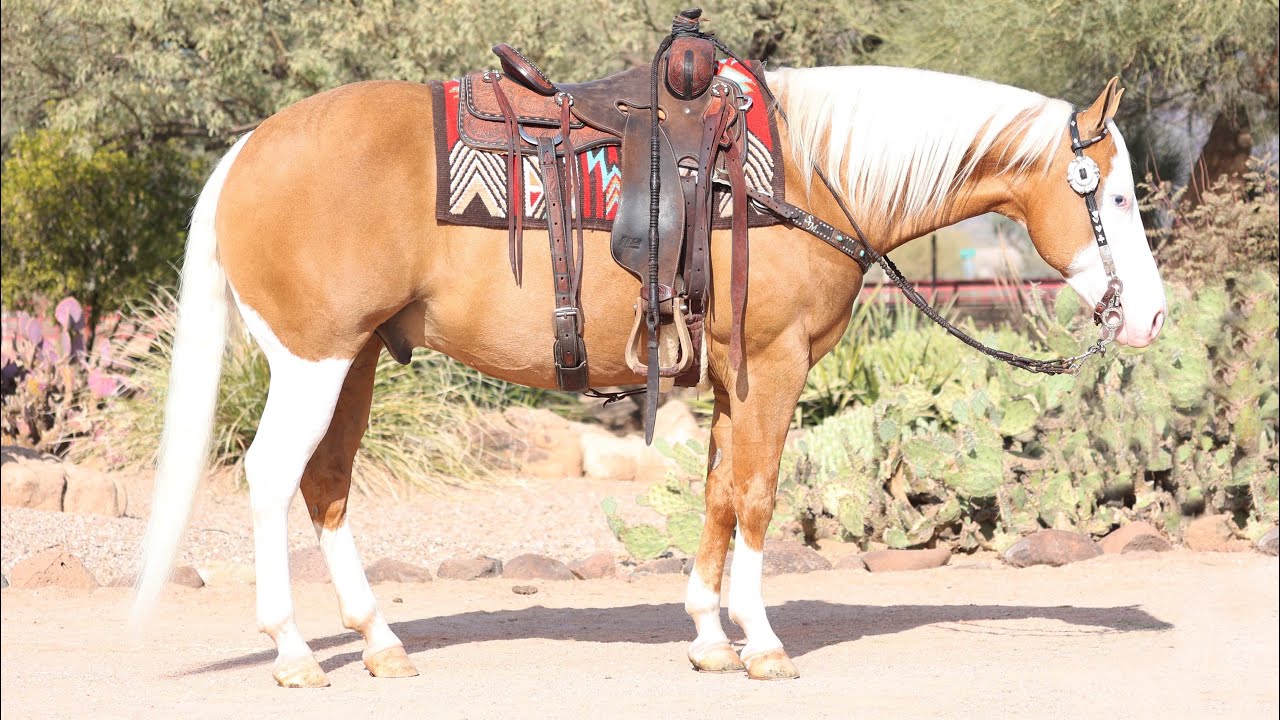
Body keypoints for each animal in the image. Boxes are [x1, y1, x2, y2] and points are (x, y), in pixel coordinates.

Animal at [131, 63, 1167, 687]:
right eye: (1114, 196)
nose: (1152, 318)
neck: (802, 179)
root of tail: (246, 151)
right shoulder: (773, 365)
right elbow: (758, 496)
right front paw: (762, 644)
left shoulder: (731, 378)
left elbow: (716, 496)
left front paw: (709, 636)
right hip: (312, 362)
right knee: (272, 479)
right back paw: (295, 652)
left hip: (352, 363)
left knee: (328, 486)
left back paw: (379, 642)